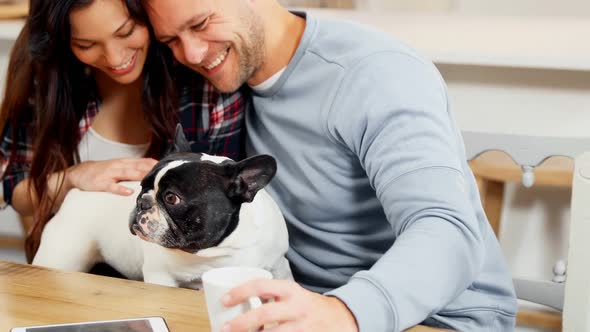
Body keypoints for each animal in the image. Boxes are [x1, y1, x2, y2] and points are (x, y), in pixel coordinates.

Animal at [32, 126, 292, 290]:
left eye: (171, 198)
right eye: (142, 186)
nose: (142, 202)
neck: (215, 250)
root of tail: (75, 193)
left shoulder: (279, 267)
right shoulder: (161, 276)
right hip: (61, 256)